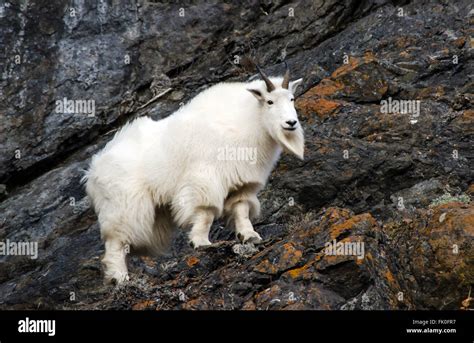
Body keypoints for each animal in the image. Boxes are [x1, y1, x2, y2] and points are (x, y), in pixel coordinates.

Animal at [85, 65, 306, 284]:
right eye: (270, 101)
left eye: (291, 98)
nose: (291, 123)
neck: (248, 120)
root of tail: (92, 172)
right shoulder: (205, 178)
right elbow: (205, 212)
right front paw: (200, 242)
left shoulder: (242, 182)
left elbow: (241, 209)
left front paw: (249, 235)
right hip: (123, 207)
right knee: (116, 241)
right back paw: (120, 278)